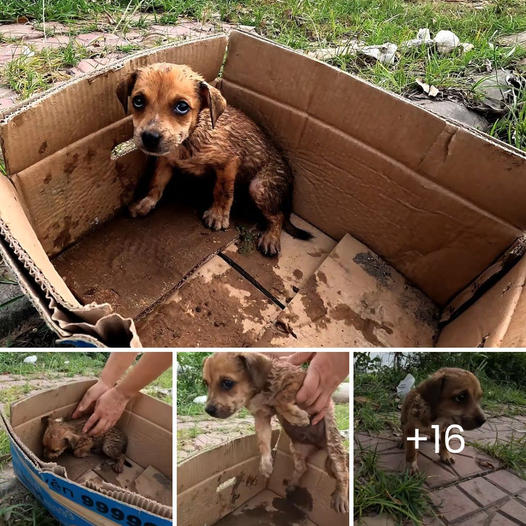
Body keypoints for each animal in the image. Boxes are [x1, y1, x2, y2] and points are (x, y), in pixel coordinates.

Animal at [116, 64, 314, 258]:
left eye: (182, 107)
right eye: (138, 101)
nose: (150, 138)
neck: (188, 139)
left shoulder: (229, 162)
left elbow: (223, 191)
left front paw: (218, 215)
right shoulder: (165, 160)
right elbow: (156, 183)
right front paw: (146, 202)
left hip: (259, 187)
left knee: (278, 215)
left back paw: (271, 237)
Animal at [203, 352, 350, 512]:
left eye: (227, 383)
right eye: (206, 383)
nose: (208, 411)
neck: (258, 392)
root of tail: (319, 445)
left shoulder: (300, 382)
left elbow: (280, 398)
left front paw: (298, 417)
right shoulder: (261, 417)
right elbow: (263, 442)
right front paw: (266, 464)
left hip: (333, 444)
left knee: (344, 473)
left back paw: (341, 498)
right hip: (296, 448)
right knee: (302, 467)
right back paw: (291, 485)